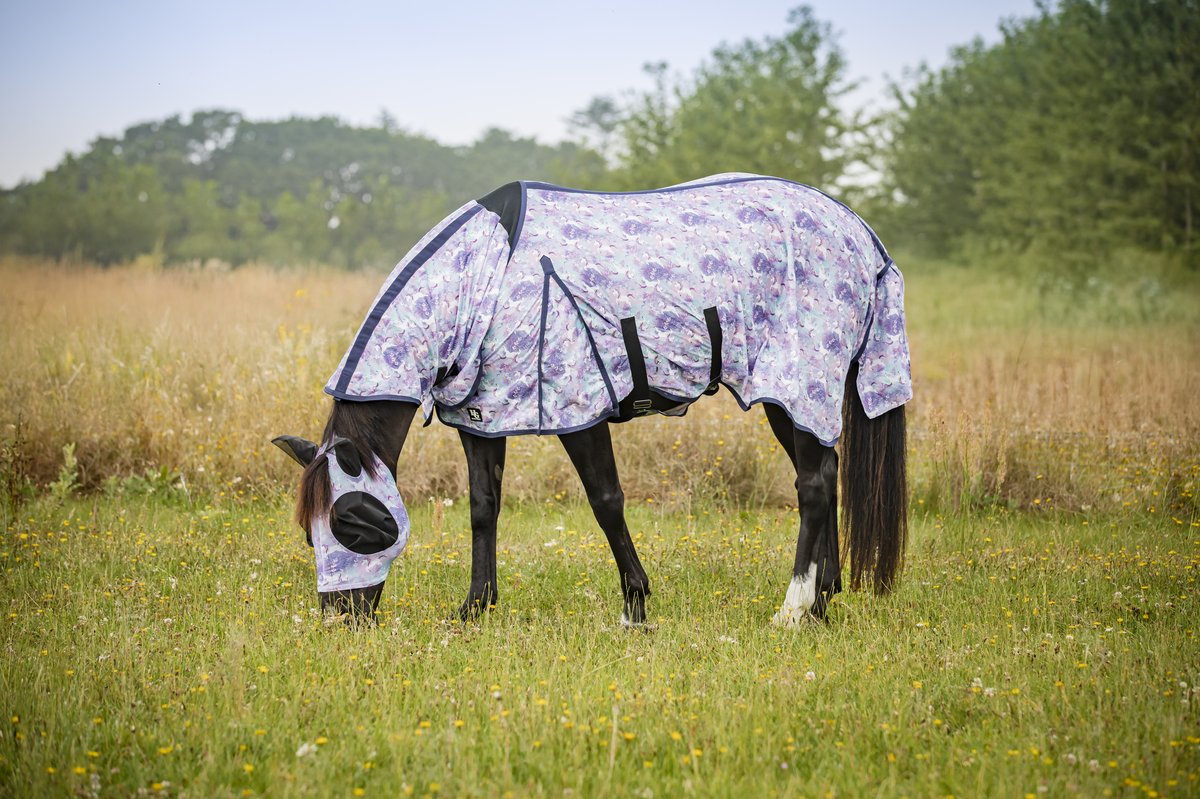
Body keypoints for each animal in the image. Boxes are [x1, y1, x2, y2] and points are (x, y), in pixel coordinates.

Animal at [273, 173, 911, 626]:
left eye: (353, 524)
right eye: (308, 533)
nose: (341, 621)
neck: (486, 278)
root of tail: (861, 233)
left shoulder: (578, 411)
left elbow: (606, 502)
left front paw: (636, 607)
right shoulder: (482, 418)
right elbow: (483, 509)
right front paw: (474, 609)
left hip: (796, 381)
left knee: (813, 485)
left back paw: (793, 609)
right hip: (794, 397)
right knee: (825, 471)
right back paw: (823, 601)